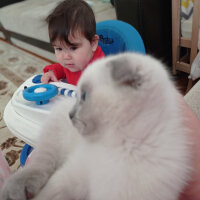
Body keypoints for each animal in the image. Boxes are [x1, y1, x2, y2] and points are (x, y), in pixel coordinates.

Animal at [0, 52, 191, 199]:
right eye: (78, 95)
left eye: (84, 96)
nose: (70, 114)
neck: (120, 145)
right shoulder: (72, 176)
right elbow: (49, 193)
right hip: (53, 142)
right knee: (41, 165)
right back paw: (15, 190)